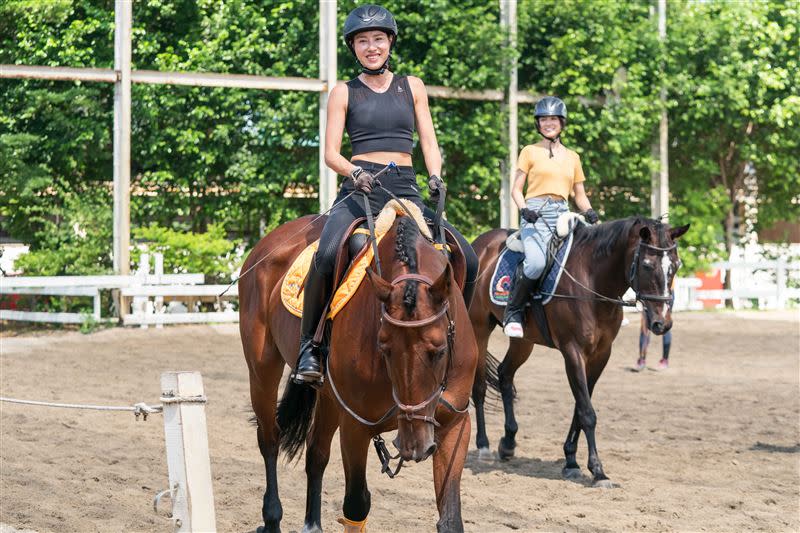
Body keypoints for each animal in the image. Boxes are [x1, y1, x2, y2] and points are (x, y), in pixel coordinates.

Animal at [238, 214, 476, 528]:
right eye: (384, 347)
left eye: (439, 350)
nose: (415, 446)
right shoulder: (355, 426)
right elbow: (356, 505)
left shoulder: (455, 423)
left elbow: (450, 517)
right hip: (262, 371)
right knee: (270, 439)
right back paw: (272, 517)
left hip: (328, 397)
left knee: (316, 453)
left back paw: (312, 526)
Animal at [468, 215, 688, 486]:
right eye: (647, 265)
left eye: (675, 266)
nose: (662, 323)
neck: (594, 281)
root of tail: (481, 243)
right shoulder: (573, 351)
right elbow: (587, 412)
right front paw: (598, 470)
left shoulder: (601, 355)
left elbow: (580, 407)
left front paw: (571, 460)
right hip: (479, 329)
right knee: (478, 387)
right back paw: (483, 446)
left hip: (523, 340)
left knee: (505, 374)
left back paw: (508, 443)